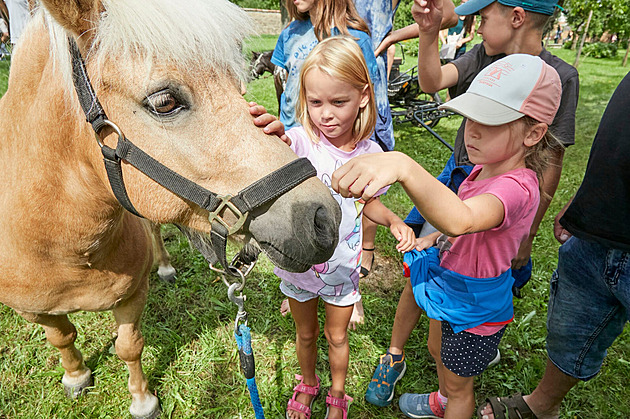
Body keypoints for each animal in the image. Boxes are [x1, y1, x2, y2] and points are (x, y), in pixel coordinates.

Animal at [0, 0, 340, 419]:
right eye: (164, 102)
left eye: (238, 86)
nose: (323, 219)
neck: (63, 245)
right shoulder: (36, 311)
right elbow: (63, 338)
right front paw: (76, 376)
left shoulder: (132, 295)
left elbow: (129, 346)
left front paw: (142, 399)